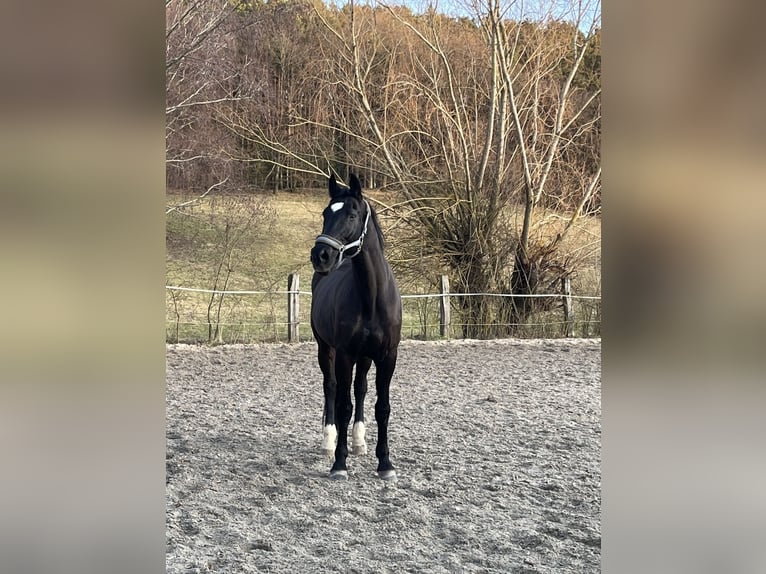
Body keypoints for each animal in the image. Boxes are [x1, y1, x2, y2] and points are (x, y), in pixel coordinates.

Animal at [309, 173, 402, 481]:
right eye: (326, 213)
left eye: (351, 214)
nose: (320, 255)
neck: (371, 298)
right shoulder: (344, 354)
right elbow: (342, 405)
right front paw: (339, 463)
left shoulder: (387, 356)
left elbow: (381, 407)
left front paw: (385, 464)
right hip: (325, 348)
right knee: (331, 388)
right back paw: (328, 442)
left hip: (365, 357)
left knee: (360, 388)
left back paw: (359, 441)